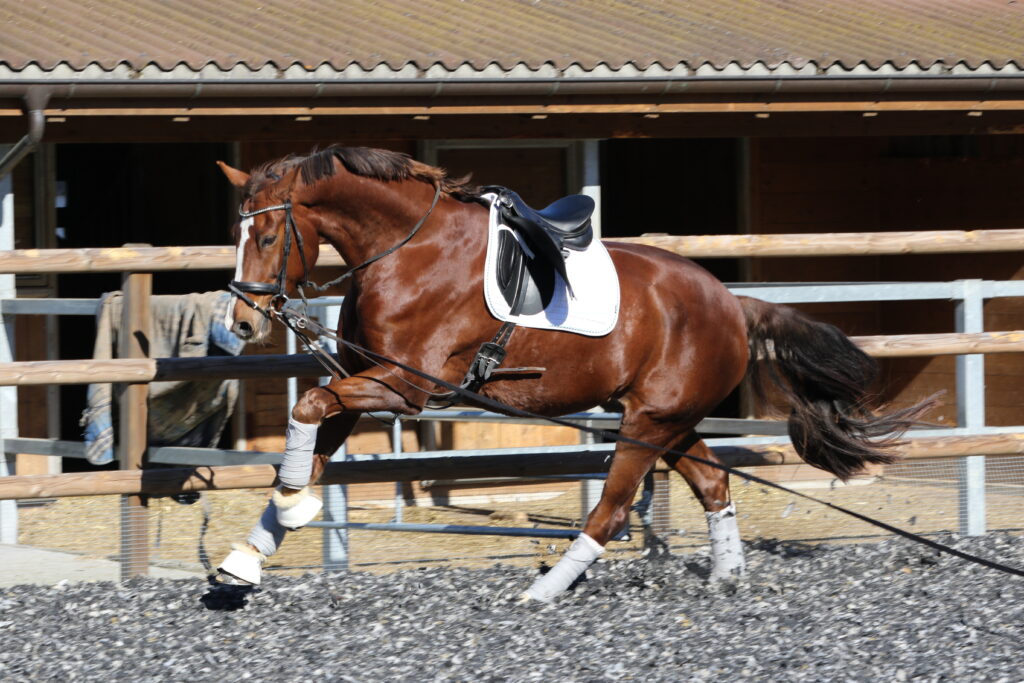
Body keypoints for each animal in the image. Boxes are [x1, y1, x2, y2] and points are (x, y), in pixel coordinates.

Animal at [213, 146, 933, 601]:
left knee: (611, 512)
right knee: (712, 481)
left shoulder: (405, 387)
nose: (243, 323)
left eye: (269, 236)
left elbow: (307, 406)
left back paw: (543, 591)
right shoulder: (363, 381)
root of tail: (732, 303)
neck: (408, 251)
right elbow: (312, 432)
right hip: (663, 420)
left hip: (647, 424)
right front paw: (245, 558)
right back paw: (727, 580)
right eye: (236, 233)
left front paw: (291, 505)